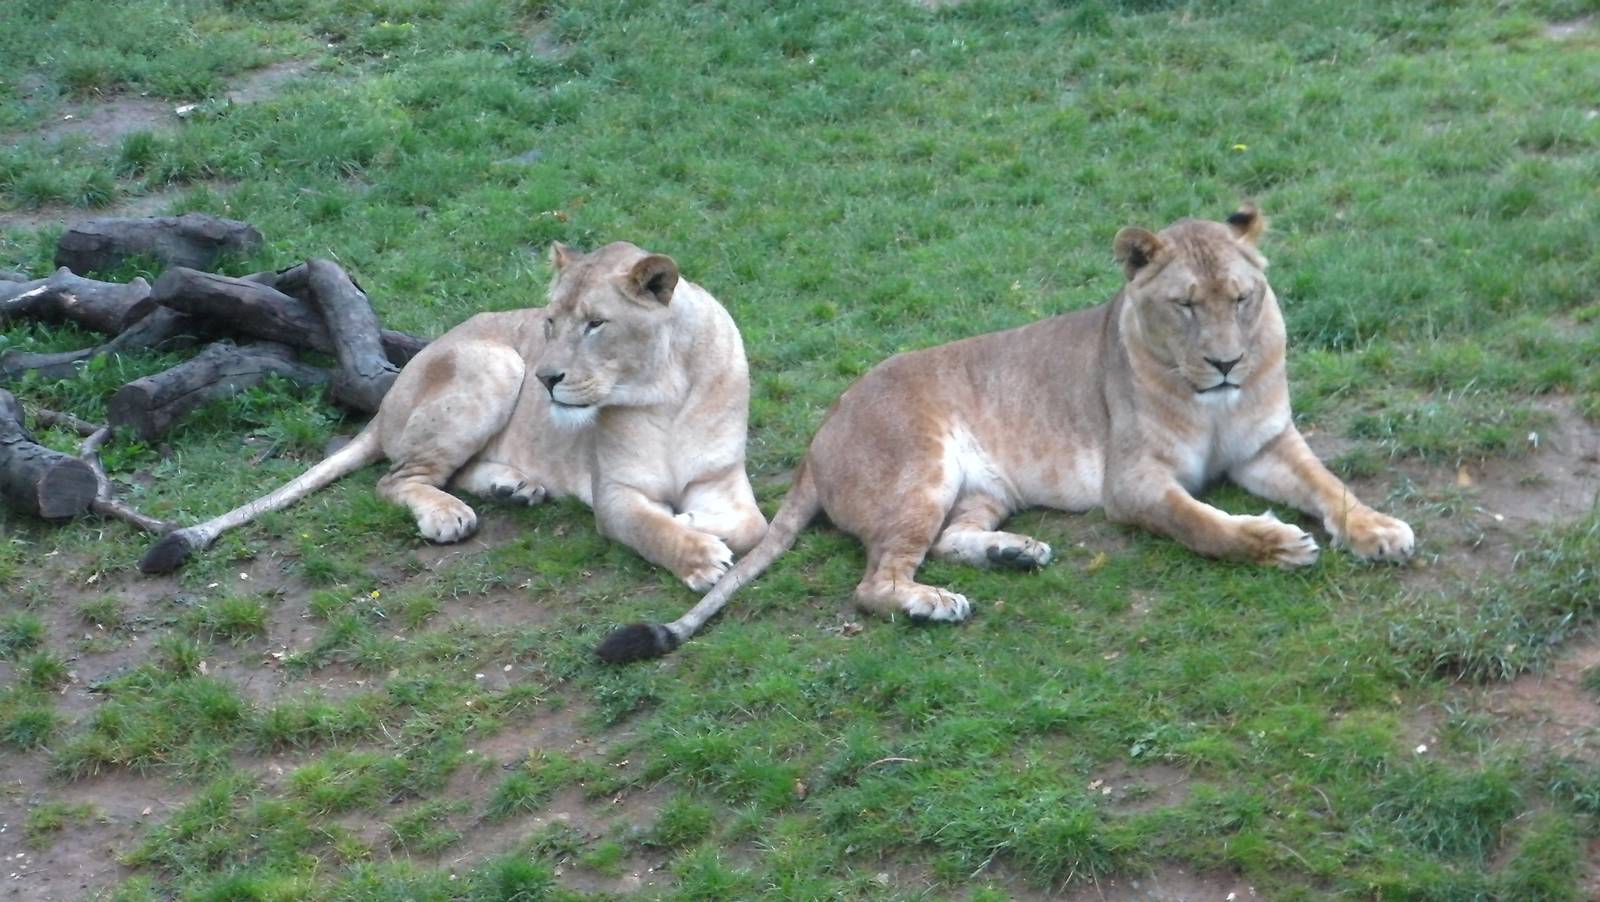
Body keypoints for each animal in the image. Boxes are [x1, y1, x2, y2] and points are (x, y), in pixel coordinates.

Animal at [140, 241, 768, 591]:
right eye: (550, 322)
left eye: (595, 324)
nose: (547, 379)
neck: (665, 390)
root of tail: (388, 400)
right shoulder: (612, 493)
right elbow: (647, 526)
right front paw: (697, 553)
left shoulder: (722, 481)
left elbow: (753, 527)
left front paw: (699, 524)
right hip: (495, 361)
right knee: (397, 479)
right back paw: (449, 515)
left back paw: (513, 487)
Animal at [597, 206, 1415, 663]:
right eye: (1185, 305)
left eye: (1243, 299)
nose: (1226, 362)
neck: (1211, 398)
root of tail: (817, 443)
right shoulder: (1134, 482)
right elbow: (1203, 524)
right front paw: (1276, 543)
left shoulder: (1267, 442)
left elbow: (1329, 484)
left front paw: (1378, 530)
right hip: (920, 467)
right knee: (875, 583)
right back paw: (935, 604)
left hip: (981, 487)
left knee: (950, 538)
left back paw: (1014, 552)